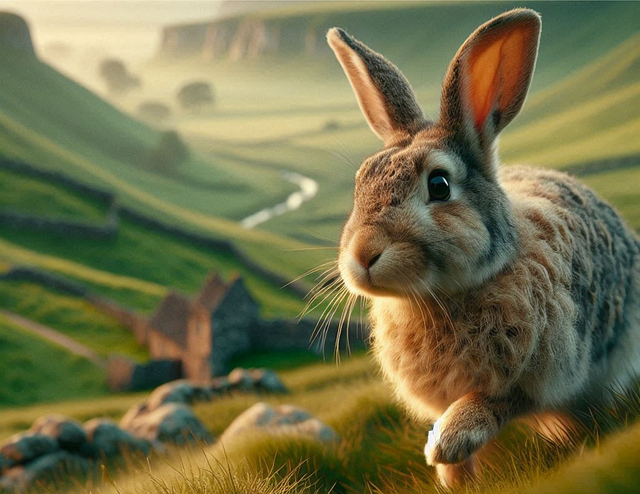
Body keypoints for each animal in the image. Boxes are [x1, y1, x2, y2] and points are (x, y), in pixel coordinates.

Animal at [327, 8, 640, 488]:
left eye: (439, 185)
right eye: (361, 182)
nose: (362, 256)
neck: (440, 298)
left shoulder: (538, 375)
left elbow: (494, 403)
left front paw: (445, 443)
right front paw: (452, 477)